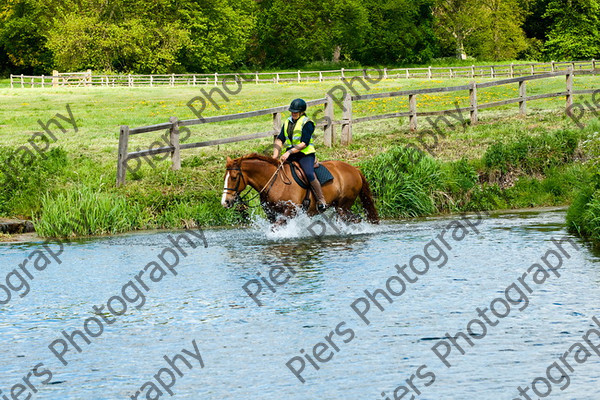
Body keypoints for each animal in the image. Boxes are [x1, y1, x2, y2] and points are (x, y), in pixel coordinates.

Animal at [220, 154, 380, 225]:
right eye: (224, 177)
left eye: (234, 177)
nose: (225, 202)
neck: (274, 181)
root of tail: (355, 169)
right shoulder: (272, 214)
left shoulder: (290, 211)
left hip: (343, 206)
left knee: (356, 219)